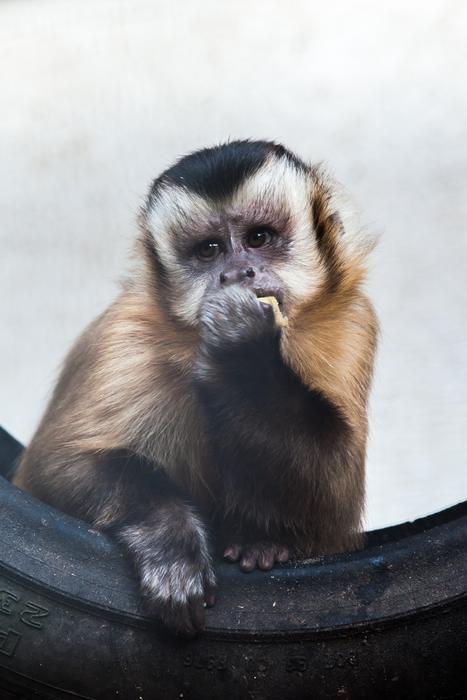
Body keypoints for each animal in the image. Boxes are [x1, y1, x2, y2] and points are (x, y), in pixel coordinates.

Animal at [14, 140, 378, 636]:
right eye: (209, 250)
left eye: (258, 239)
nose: (236, 274)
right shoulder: (123, 337)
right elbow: (55, 467)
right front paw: (171, 540)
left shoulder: (352, 321)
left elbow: (331, 503)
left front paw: (242, 360)